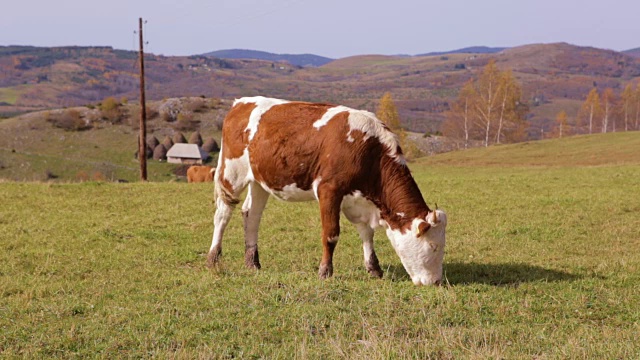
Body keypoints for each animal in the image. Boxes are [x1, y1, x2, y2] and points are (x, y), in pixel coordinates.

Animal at [208, 97, 448, 286]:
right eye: (433, 246)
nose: (436, 282)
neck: (368, 149)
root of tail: (241, 103)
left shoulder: (358, 200)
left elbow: (367, 233)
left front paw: (374, 268)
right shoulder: (329, 190)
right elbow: (331, 235)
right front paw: (325, 271)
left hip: (259, 181)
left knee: (251, 215)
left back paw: (252, 262)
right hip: (231, 173)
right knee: (222, 215)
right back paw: (213, 259)